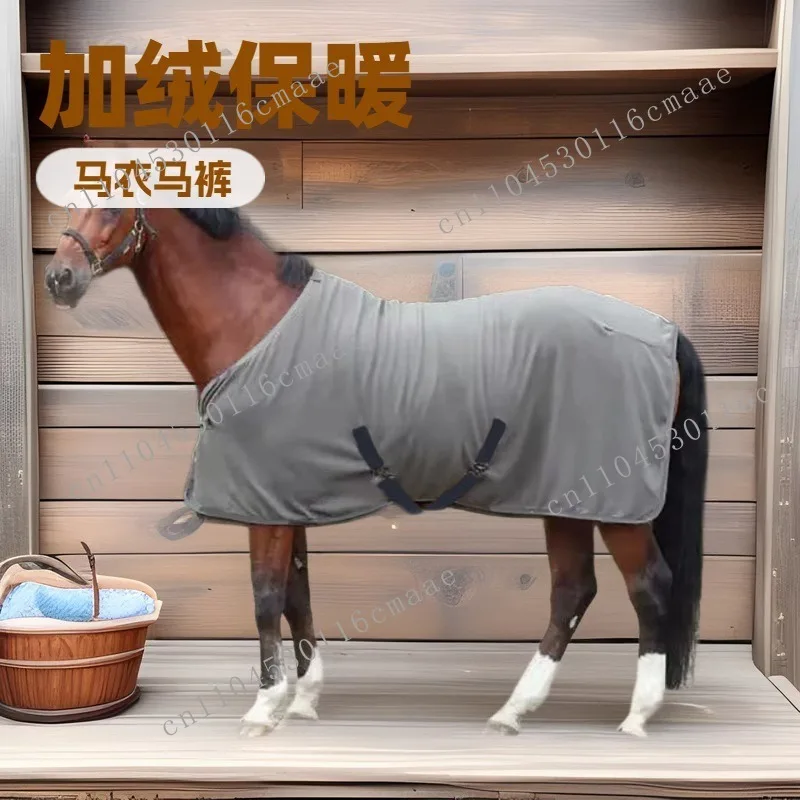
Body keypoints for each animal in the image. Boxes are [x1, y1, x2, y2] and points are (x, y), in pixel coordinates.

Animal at [44, 205, 708, 739]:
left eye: (115, 200)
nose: (59, 277)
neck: (258, 328)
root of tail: (664, 332)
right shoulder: (285, 500)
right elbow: (298, 596)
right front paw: (304, 700)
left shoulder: (265, 507)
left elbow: (265, 596)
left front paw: (264, 710)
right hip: (565, 499)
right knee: (573, 590)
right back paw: (513, 711)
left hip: (610, 504)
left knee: (648, 586)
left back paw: (636, 716)